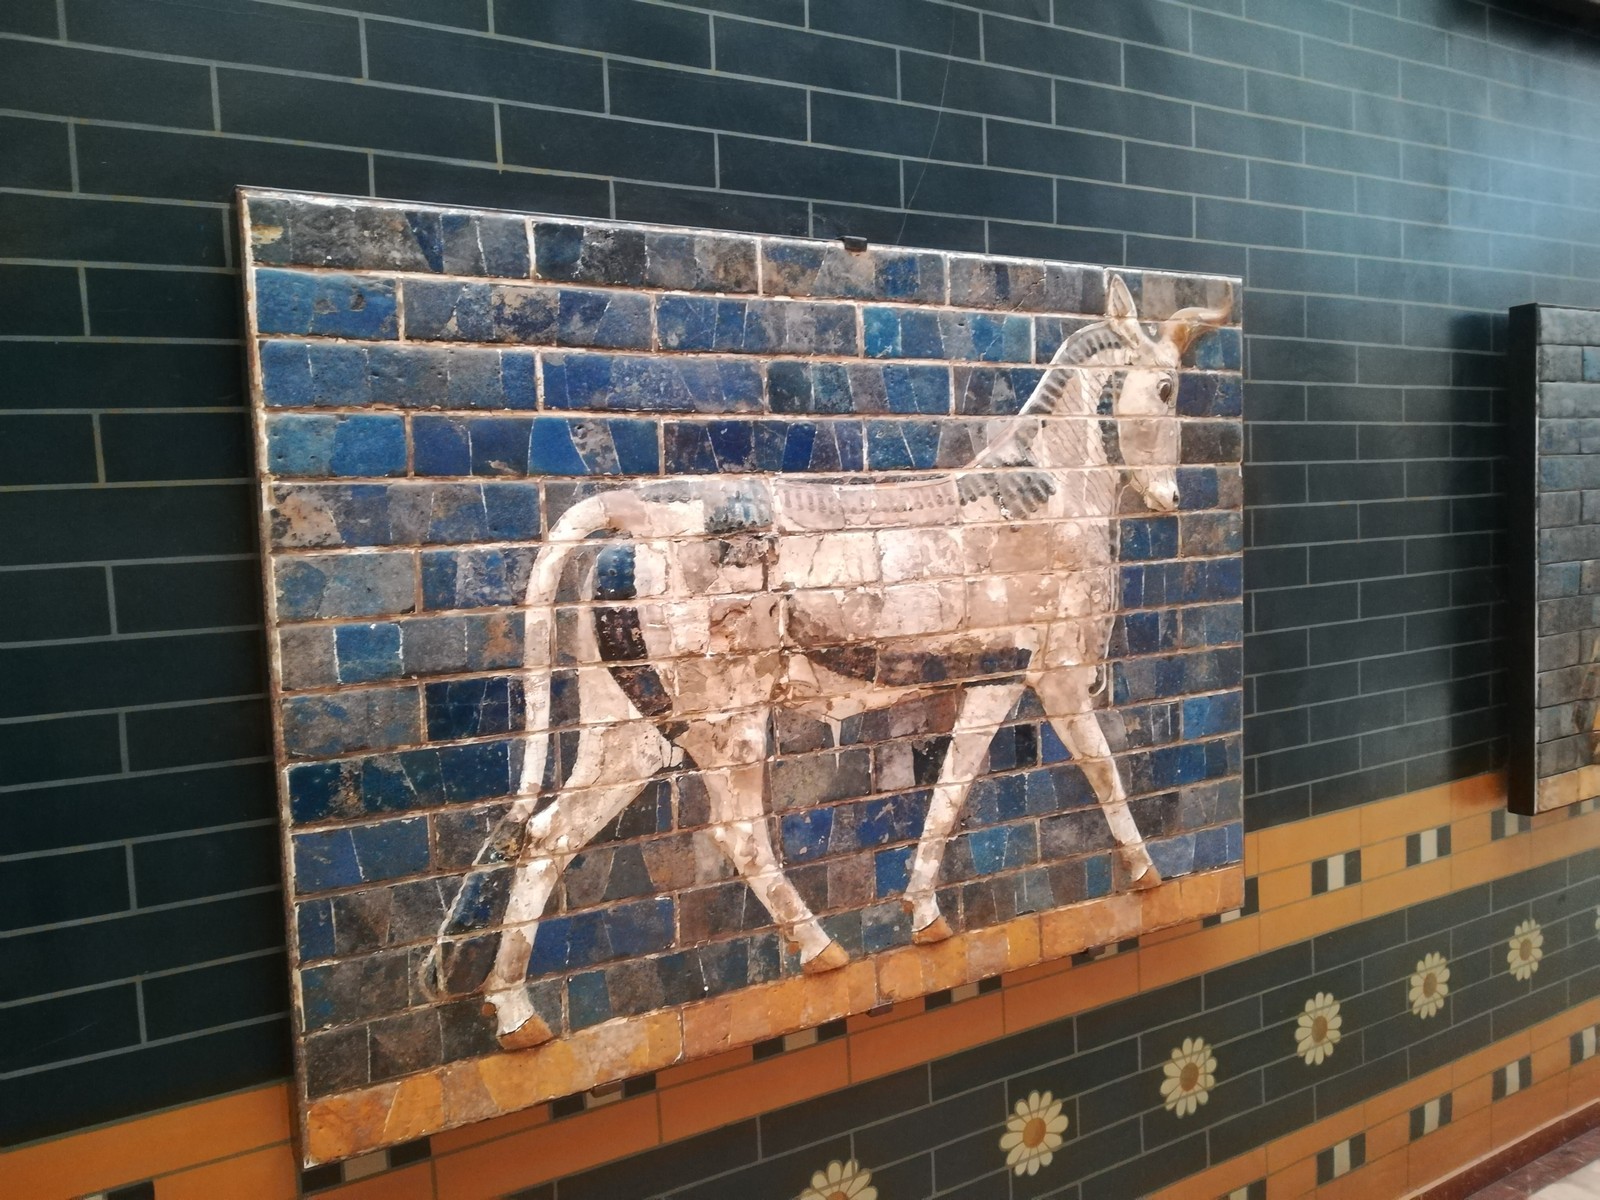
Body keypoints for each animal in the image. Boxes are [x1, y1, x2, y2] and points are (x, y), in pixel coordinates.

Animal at [422, 273, 1232, 1050]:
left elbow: (951, 791)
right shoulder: (1056, 672)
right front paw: (1147, 875)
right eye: (1166, 388)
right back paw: (821, 951)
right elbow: (1105, 772)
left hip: (630, 726)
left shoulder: (996, 679)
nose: (1170, 498)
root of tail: (637, 511)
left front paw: (926, 914)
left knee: (547, 837)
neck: (1048, 488)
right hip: (730, 714)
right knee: (738, 830)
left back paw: (517, 1015)